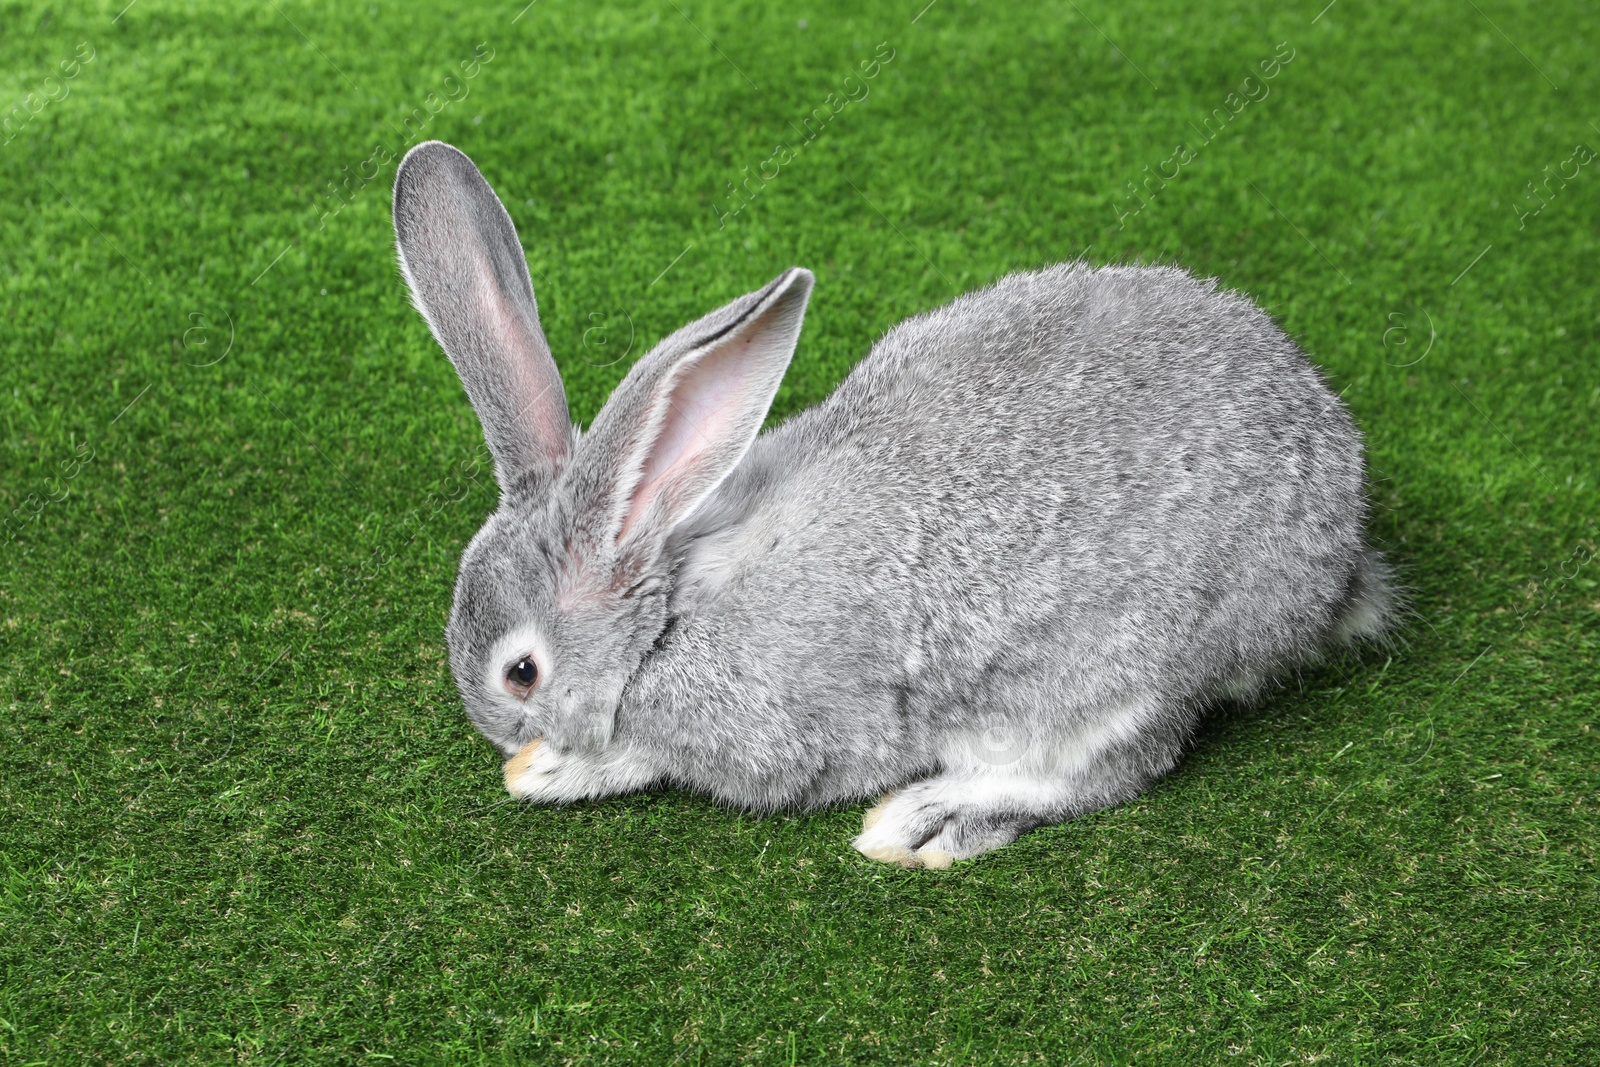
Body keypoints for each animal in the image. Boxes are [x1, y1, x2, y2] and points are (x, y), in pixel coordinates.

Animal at [393, 139, 1395, 870]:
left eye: (521, 672)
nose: (500, 735)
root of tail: (1339, 553)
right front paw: (546, 769)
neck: (669, 604)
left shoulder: (784, 732)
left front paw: (562, 763)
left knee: (1106, 769)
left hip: (1109, 679)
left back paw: (925, 821)